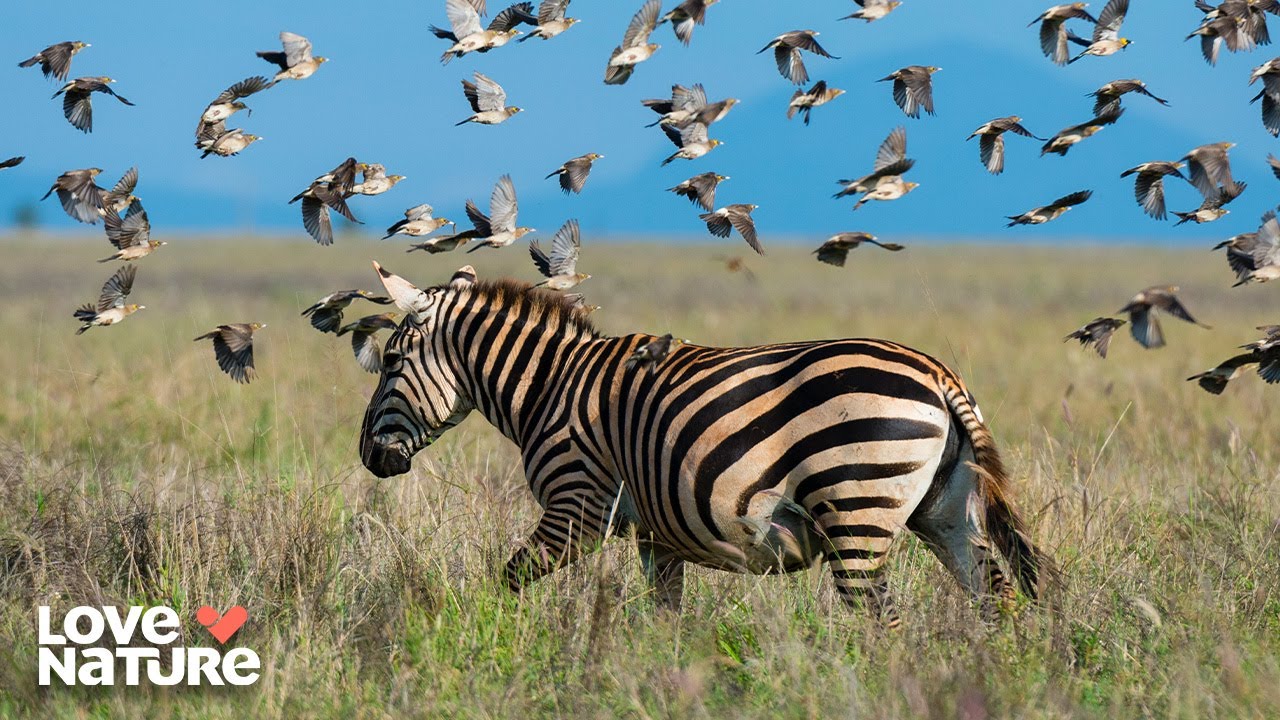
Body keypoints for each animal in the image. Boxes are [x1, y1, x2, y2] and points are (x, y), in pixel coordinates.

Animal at [360, 263, 1053, 624]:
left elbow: (508, 578)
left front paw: (487, 636)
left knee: (878, 619)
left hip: (855, 507)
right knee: (996, 598)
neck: (550, 385)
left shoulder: (576, 505)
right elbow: (663, 613)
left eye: (390, 361)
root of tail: (938, 373)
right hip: (945, 511)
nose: (368, 458)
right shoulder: (654, 532)